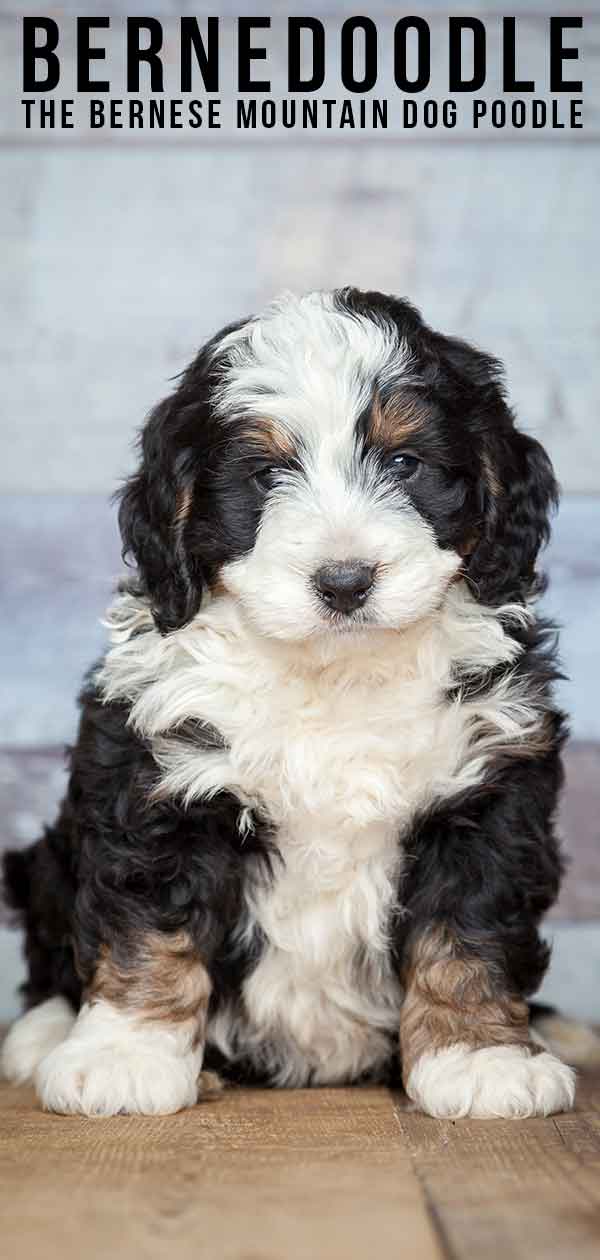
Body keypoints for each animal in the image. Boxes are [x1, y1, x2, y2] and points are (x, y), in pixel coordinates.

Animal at [1, 289, 594, 1118]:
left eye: (404, 463)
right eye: (265, 474)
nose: (345, 581)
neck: (333, 673)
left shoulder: (490, 788)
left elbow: (471, 926)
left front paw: (482, 1057)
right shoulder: (155, 777)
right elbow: (148, 921)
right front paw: (124, 1055)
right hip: (46, 861)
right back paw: (43, 1035)